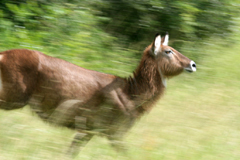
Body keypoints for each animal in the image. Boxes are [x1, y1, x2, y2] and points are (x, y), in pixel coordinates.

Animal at [0, 33, 196, 156]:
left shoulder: (89, 129)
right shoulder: (115, 131)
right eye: (168, 51)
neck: (131, 94)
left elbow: (70, 153)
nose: (193, 64)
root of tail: (2, 54)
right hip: (14, 96)